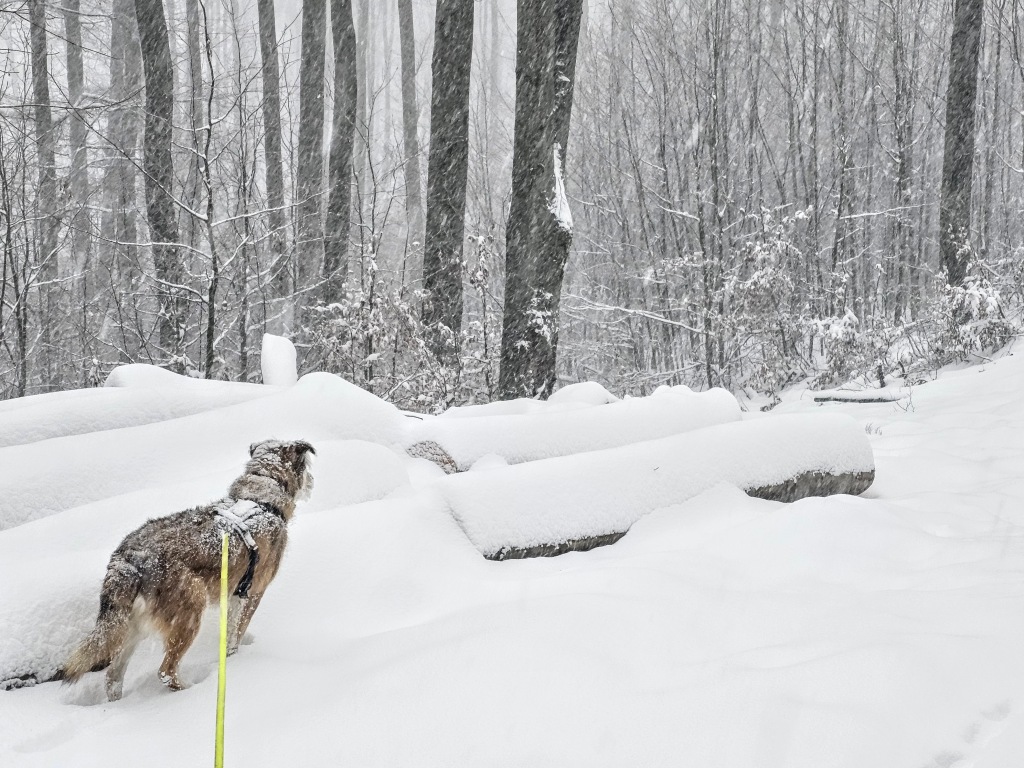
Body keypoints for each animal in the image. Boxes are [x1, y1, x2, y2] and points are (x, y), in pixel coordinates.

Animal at [61, 438, 313, 704]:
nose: (312, 484)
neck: (259, 501)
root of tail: (129, 559)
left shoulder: (235, 595)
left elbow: (230, 632)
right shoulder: (253, 593)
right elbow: (236, 634)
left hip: (131, 627)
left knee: (113, 676)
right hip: (190, 613)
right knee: (165, 671)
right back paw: (189, 690)